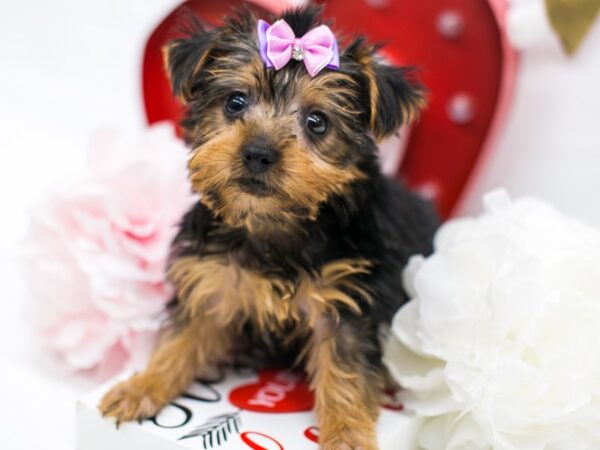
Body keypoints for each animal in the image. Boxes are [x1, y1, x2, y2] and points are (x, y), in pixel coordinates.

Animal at [97, 4, 436, 450]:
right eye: (235, 102)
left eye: (317, 121)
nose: (258, 153)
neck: (272, 224)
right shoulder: (211, 282)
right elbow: (181, 341)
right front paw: (142, 386)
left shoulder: (346, 302)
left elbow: (345, 373)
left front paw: (346, 435)